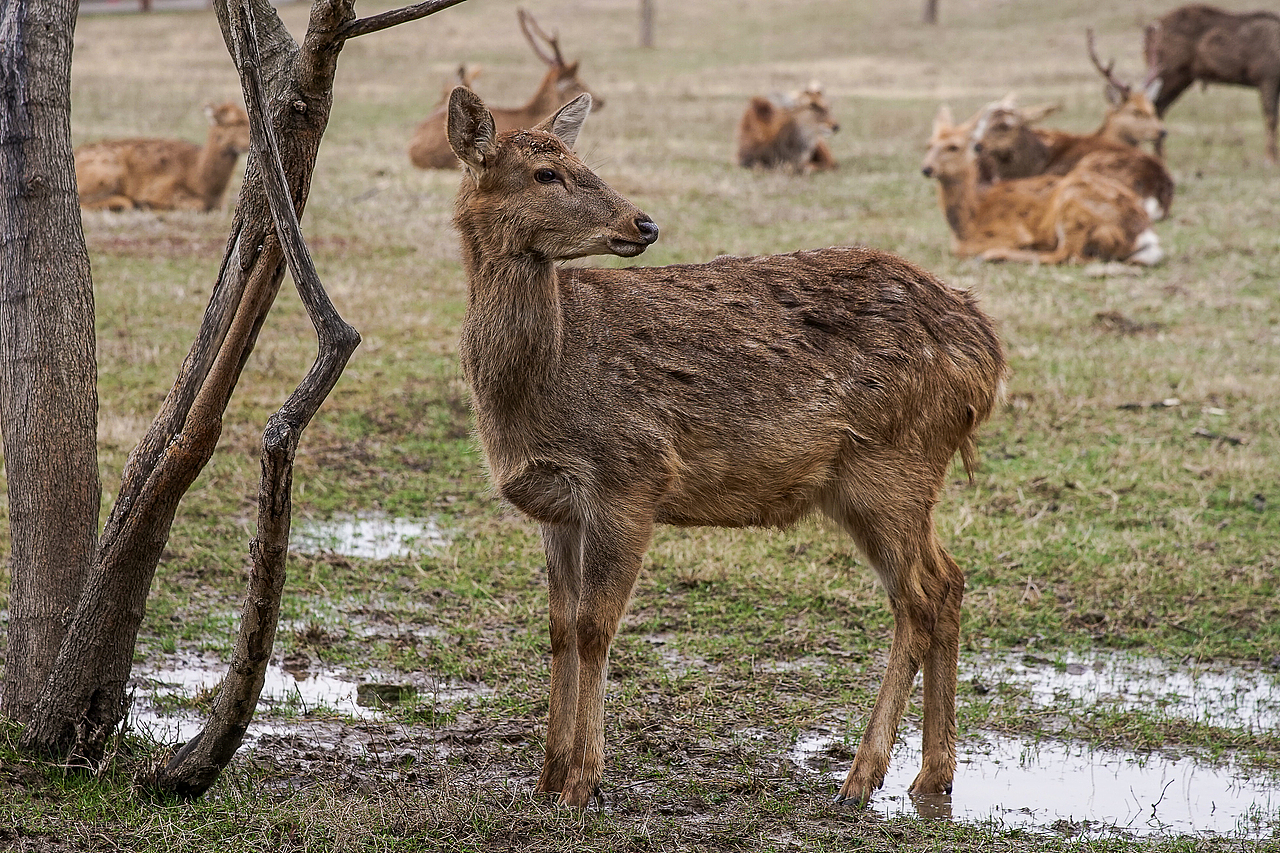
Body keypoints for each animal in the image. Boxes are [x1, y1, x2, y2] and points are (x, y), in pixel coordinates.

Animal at [73, 102, 250, 212]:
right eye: (234, 123)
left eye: (247, 118)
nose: (249, 142)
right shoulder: (161, 187)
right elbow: (196, 204)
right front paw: (147, 202)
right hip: (106, 172)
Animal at [445, 84, 1007, 808]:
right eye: (546, 173)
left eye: (580, 161)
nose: (643, 224)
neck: (537, 391)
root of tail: (988, 353)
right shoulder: (556, 505)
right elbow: (560, 628)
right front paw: (545, 778)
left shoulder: (631, 476)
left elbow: (597, 627)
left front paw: (582, 783)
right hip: (883, 479)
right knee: (949, 579)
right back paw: (932, 774)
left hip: (895, 462)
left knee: (921, 597)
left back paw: (862, 775)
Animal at [924, 105, 1164, 265]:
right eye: (929, 145)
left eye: (953, 147)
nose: (926, 168)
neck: (969, 217)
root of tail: (1144, 234)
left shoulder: (1009, 231)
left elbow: (962, 249)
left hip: (1073, 206)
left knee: (1068, 255)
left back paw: (997, 254)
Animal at [1144, 4, 1280, 163]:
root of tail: (1149, 30)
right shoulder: (1268, 78)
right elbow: (1271, 118)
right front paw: (1270, 159)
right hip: (1170, 74)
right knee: (1155, 104)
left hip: (1181, 78)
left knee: (1159, 106)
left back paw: (1160, 155)